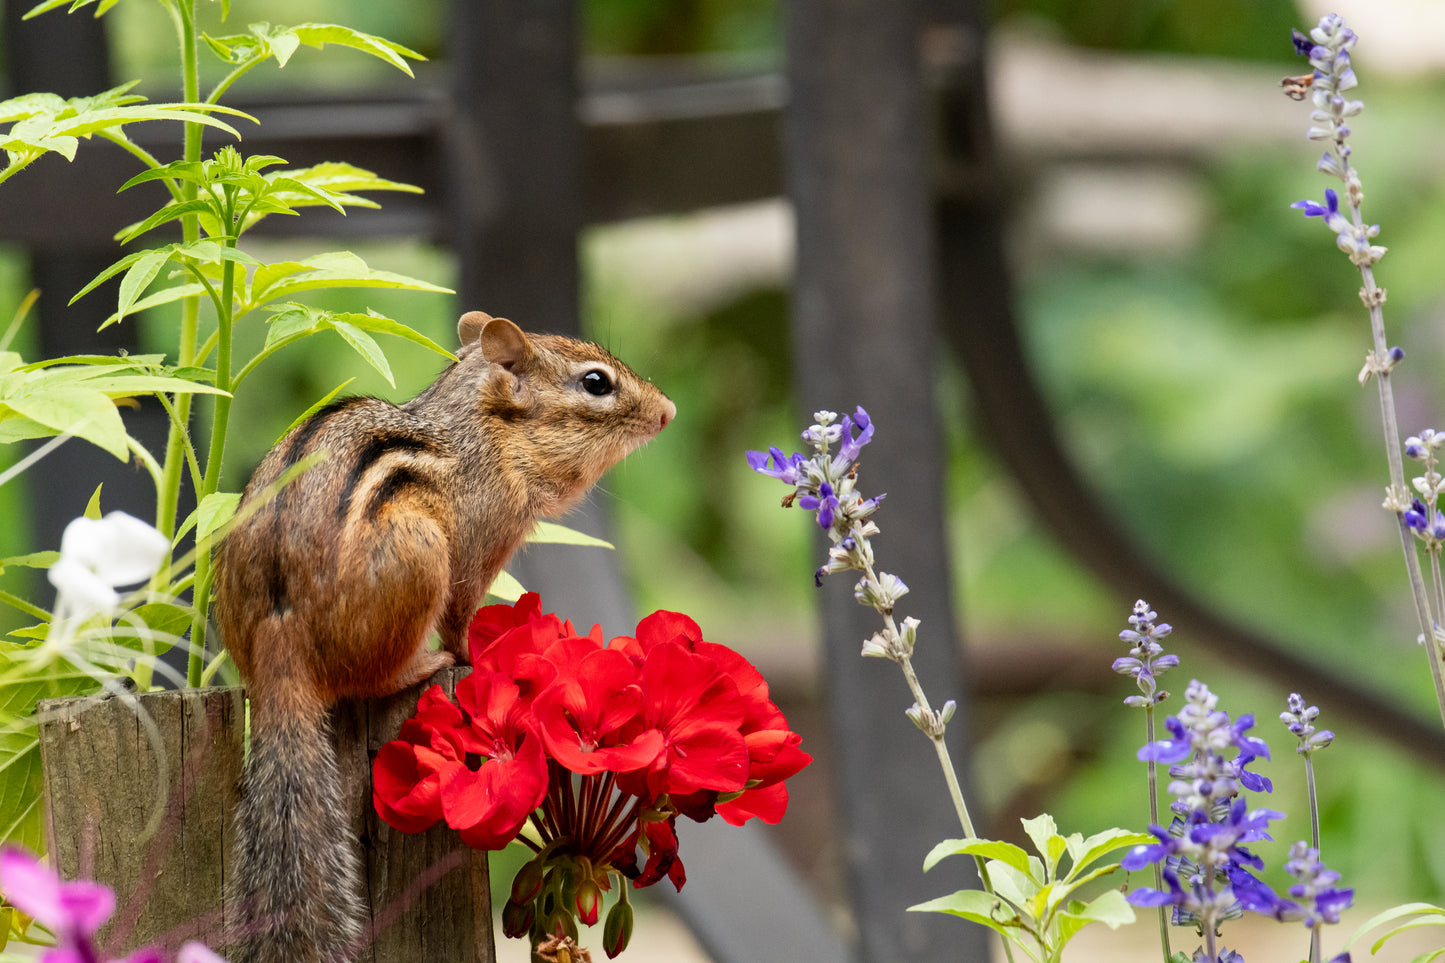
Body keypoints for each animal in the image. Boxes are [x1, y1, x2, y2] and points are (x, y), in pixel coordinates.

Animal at [215, 312, 675, 963]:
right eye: (596, 383)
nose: (668, 411)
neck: (485, 431)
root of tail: (278, 647)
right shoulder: (479, 544)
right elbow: (461, 613)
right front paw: (472, 653)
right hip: (420, 552)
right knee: (371, 678)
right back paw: (423, 664)